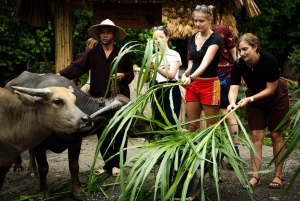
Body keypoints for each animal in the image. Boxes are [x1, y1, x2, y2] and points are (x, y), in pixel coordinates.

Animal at [4, 71, 144, 200]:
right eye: (130, 115)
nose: (148, 124)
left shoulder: (75, 141)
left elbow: (74, 166)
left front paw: (78, 191)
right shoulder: (40, 144)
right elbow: (43, 168)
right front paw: (43, 192)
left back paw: (32, 169)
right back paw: (19, 166)